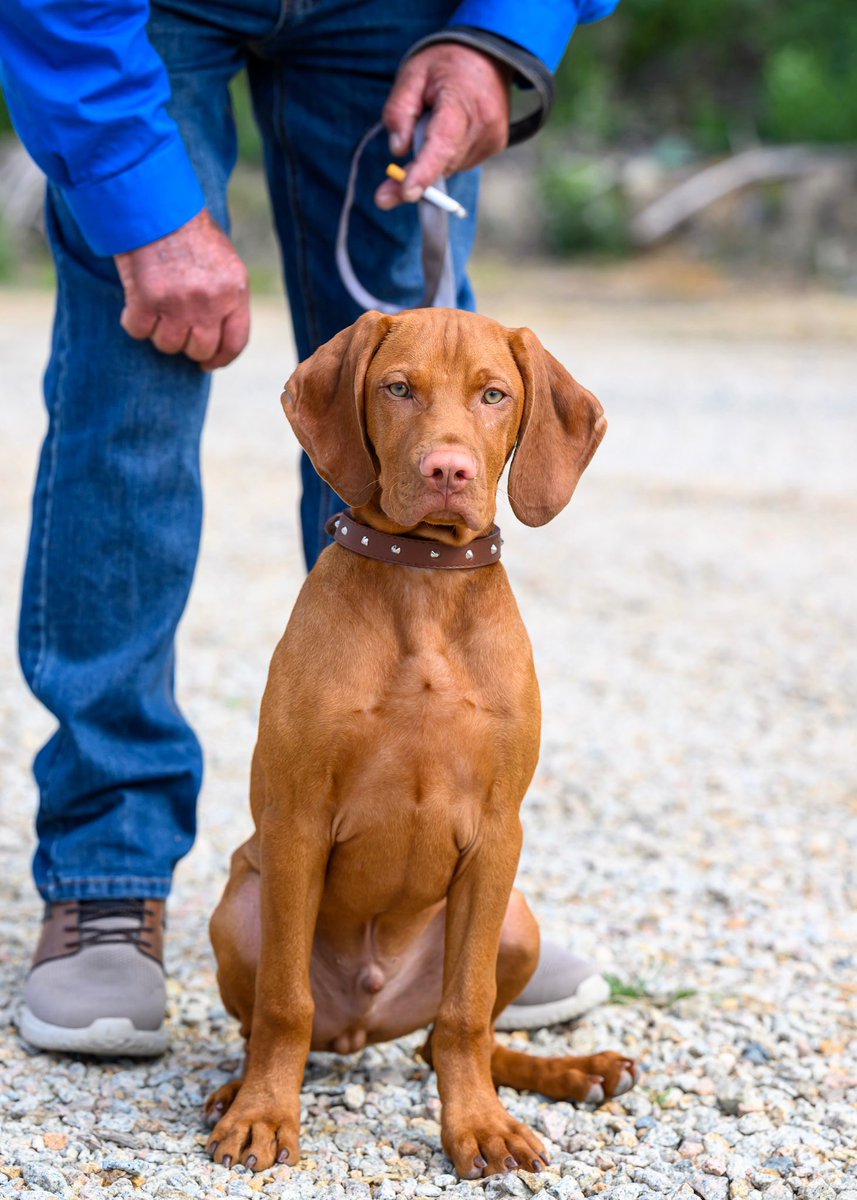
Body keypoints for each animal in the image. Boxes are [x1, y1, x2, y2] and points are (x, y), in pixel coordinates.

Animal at [204, 304, 633, 1176]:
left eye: (494, 395)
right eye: (397, 388)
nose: (447, 470)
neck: (423, 580)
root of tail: (362, 1026)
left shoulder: (499, 834)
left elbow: (466, 1012)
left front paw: (480, 1126)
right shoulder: (296, 823)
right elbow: (283, 1003)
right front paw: (263, 1114)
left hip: (515, 919)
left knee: (446, 1039)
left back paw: (574, 1072)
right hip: (240, 905)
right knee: (278, 1020)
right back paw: (238, 1088)